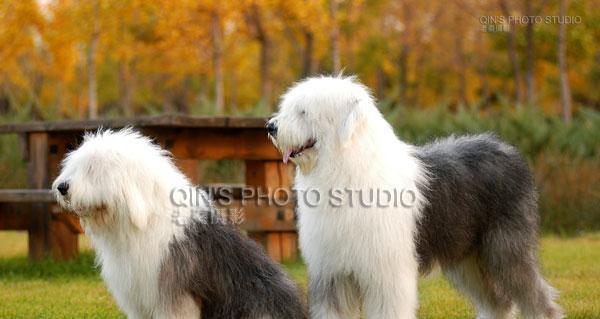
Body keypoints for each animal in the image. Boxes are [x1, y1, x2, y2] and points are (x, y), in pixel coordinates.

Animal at [268, 76, 564, 318]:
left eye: (303, 111)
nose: (271, 126)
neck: (346, 170)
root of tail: (507, 148)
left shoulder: (386, 273)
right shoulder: (332, 272)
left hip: (506, 247)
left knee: (534, 295)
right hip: (467, 257)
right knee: (498, 304)